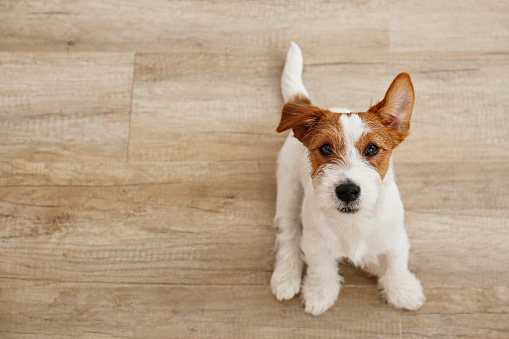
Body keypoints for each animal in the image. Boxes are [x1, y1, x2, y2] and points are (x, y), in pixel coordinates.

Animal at [270, 41, 424, 316]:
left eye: (371, 149)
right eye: (325, 149)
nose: (347, 190)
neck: (354, 223)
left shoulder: (396, 238)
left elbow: (396, 264)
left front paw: (403, 291)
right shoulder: (316, 244)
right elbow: (321, 268)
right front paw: (319, 293)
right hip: (288, 190)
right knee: (288, 234)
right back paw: (286, 276)